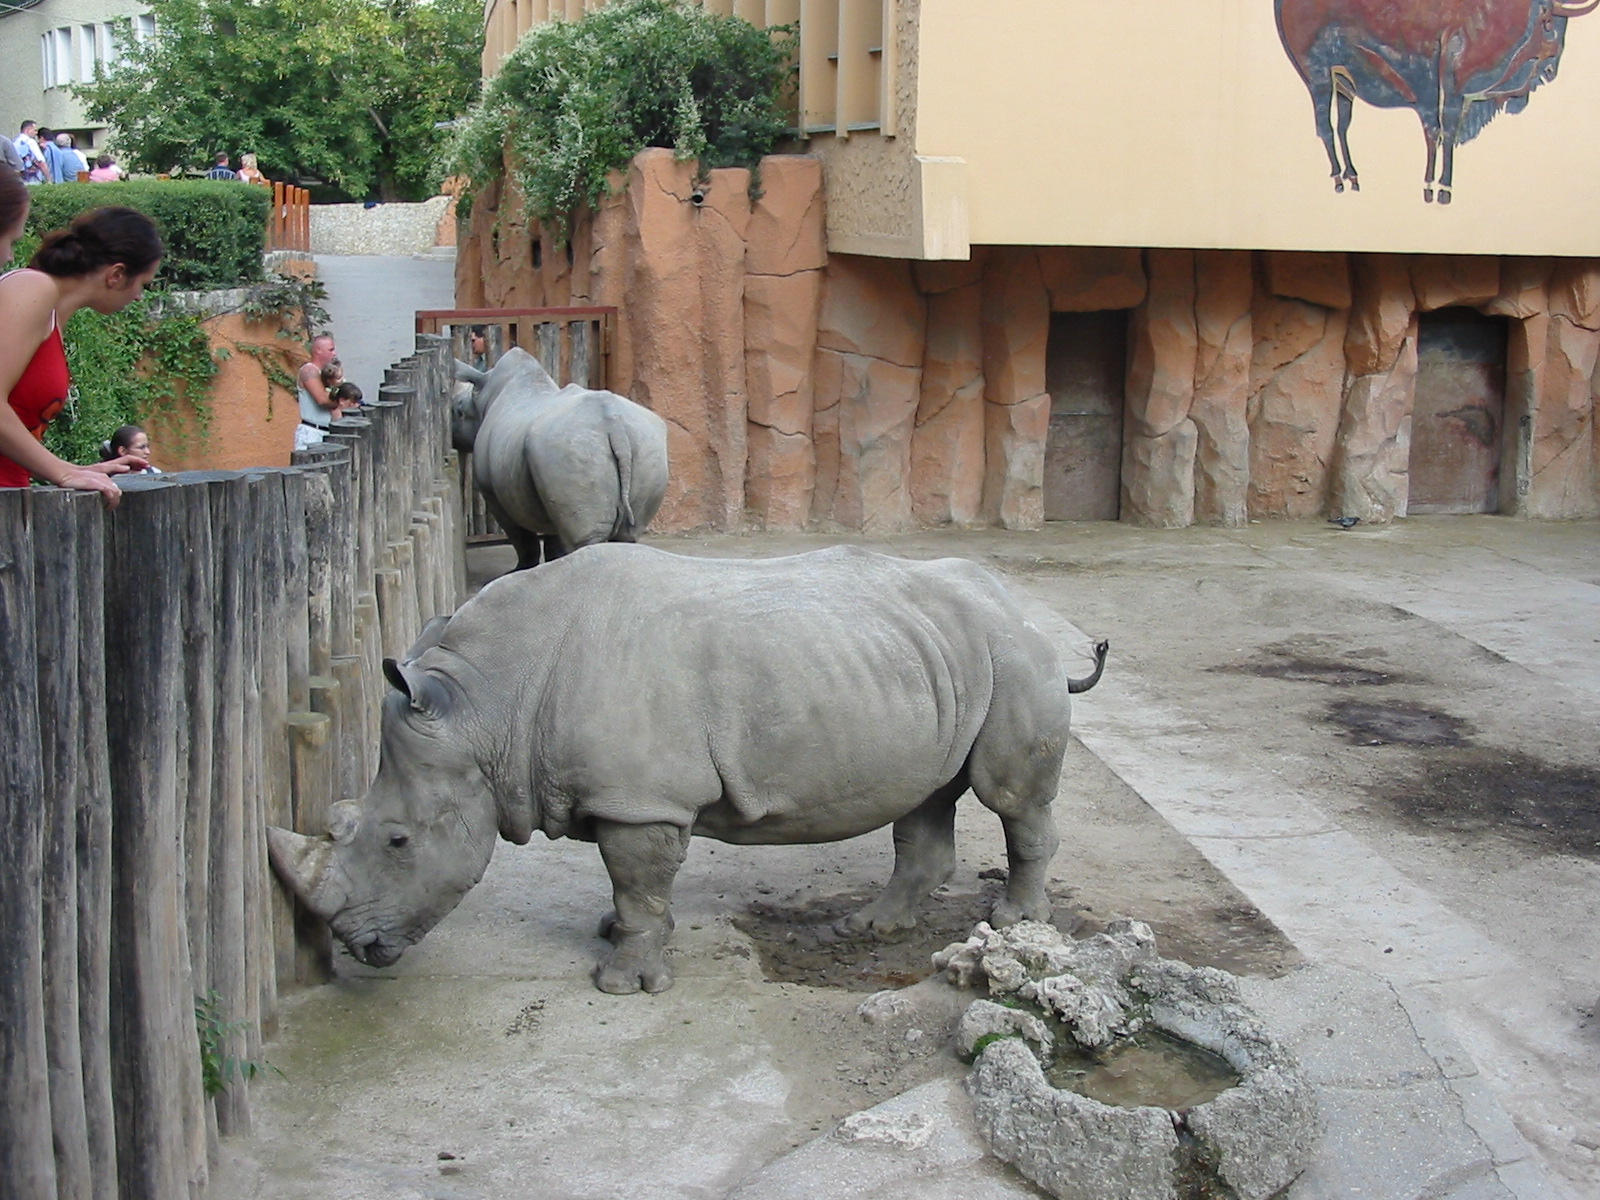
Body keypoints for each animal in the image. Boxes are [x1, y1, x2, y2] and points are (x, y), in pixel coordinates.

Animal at [268, 544, 1107, 995]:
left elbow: (637, 883)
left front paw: (623, 983)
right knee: (927, 794)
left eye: (398, 842)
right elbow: (633, 888)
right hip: (935, 659)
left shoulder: (643, 799)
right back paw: (868, 926)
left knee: (1010, 796)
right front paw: (614, 936)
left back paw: (1013, 922)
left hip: (1012, 656)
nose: (356, 946)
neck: (486, 709)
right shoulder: (624, 796)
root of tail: (1023, 606)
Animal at [452, 348, 669, 569]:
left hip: (568, 445)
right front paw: (553, 564)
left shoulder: (491, 491)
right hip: (644, 441)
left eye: (458, 411)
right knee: (627, 534)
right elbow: (553, 535)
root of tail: (614, 424)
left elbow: (523, 539)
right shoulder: (547, 489)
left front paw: (522, 569)